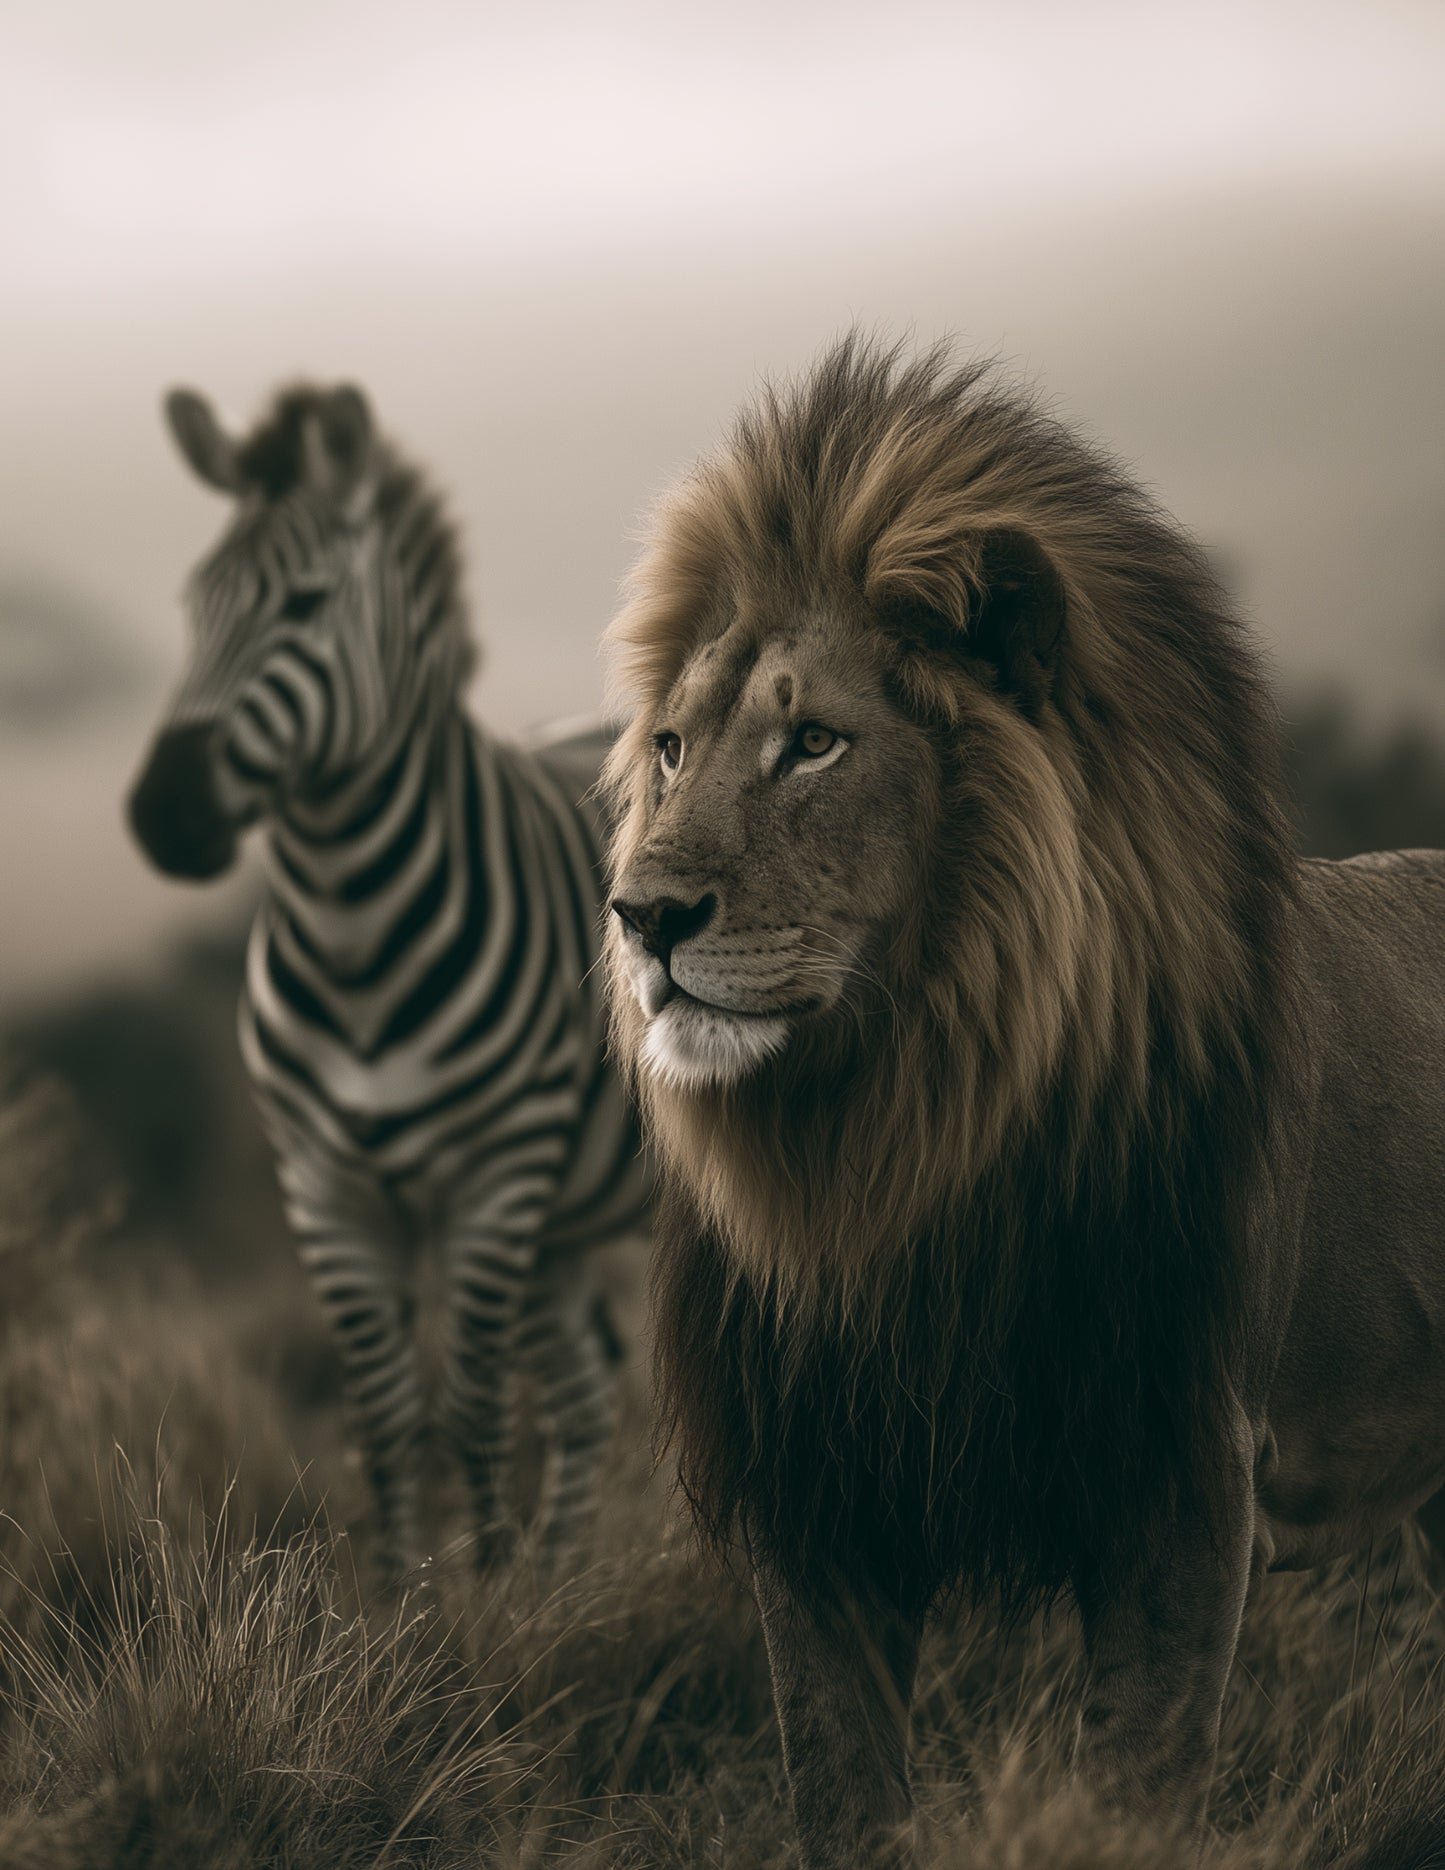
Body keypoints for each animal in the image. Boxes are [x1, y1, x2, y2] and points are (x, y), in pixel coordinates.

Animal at [127, 382, 648, 1585]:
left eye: (306, 603)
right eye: (191, 602)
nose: (163, 814)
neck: (351, 936)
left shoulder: (494, 1177)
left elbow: (469, 1409)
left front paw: (488, 1605)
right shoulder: (323, 1189)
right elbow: (382, 1413)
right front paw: (409, 1598)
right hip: (563, 1216)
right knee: (587, 1385)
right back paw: (566, 1590)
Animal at [601, 336, 1445, 1867]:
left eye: (812, 743)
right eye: (674, 750)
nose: (643, 916)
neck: (897, 1139)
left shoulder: (1177, 1479)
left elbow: (1131, 1788)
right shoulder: (814, 1499)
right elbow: (844, 1793)